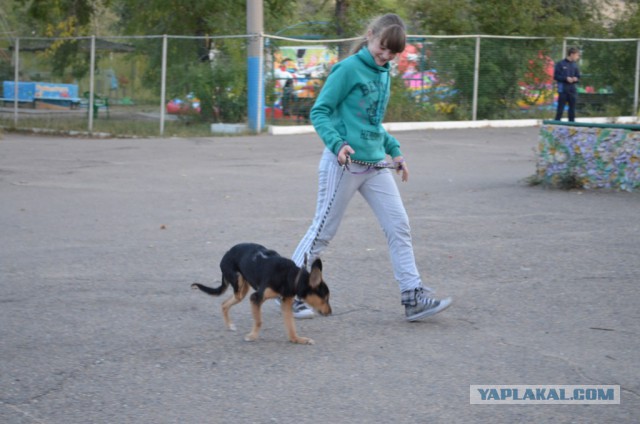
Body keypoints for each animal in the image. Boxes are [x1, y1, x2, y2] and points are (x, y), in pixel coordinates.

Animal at [190, 242, 330, 344]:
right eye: (325, 298)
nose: (330, 313)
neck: (292, 276)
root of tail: (227, 253)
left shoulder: (286, 303)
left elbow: (291, 325)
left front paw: (297, 339)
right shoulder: (256, 297)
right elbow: (258, 321)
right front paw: (252, 336)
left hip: (242, 291)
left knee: (224, 304)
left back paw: (229, 325)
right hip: (239, 287)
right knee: (226, 302)